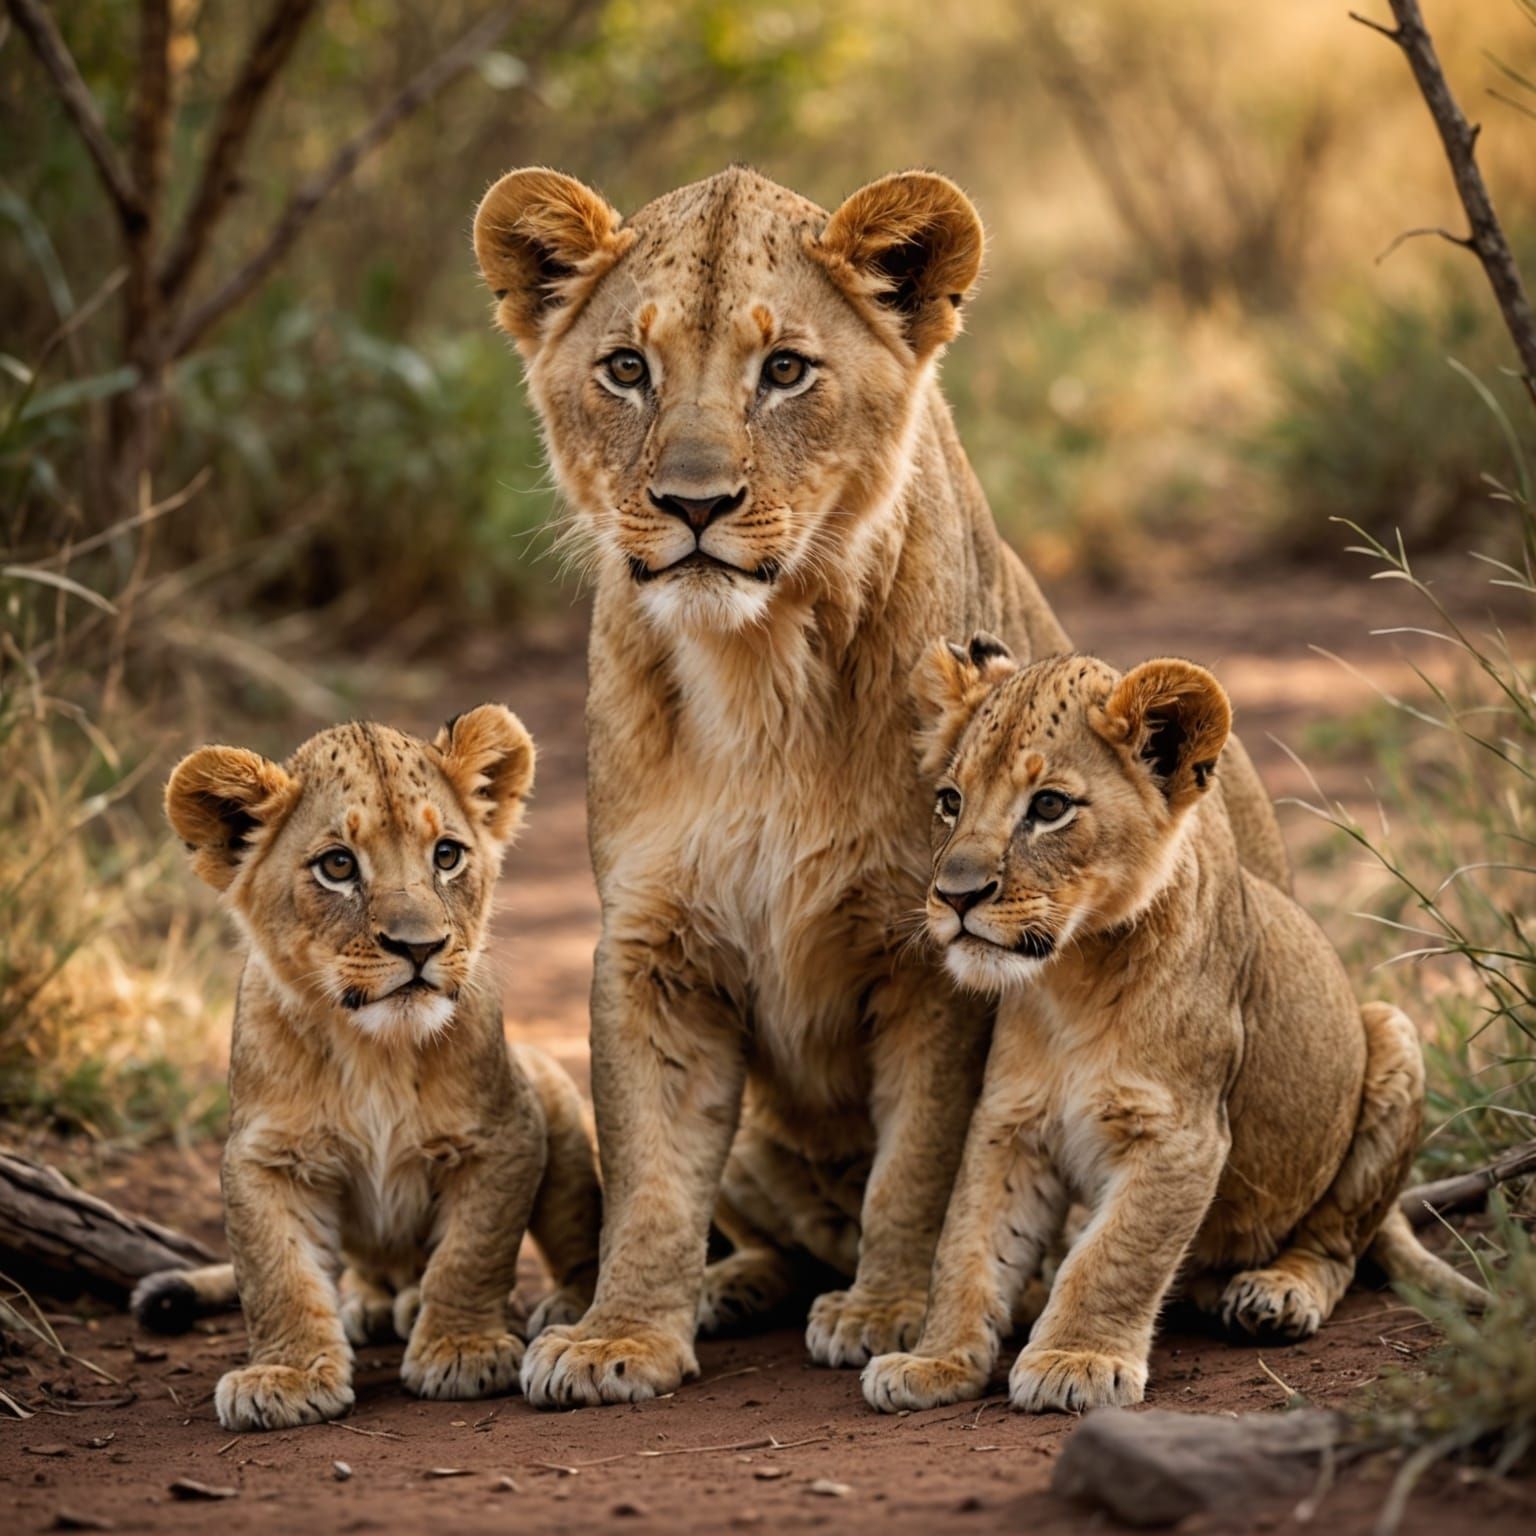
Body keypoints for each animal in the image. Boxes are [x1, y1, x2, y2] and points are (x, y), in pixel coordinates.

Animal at [134, 708, 602, 1431]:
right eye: (337, 866)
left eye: (447, 855)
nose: (420, 946)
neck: (375, 1049)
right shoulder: (265, 1155)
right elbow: (276, 1273)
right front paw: (287, 1375)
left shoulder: (505, 1133)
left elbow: (473, 1251)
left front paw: (463, 1350)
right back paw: (372, 1304)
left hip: (553, 1098)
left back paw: (550, 1304)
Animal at [470, 163, 1291, 1407]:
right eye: (626, 370)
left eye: (784, 371)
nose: (694, 506)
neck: (754, 672)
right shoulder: (654, 945)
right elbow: (651, 1166)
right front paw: (620, 1335)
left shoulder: (932, 953)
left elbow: (920, 1162)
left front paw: (891, 1313)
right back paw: (717, 1287)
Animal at [860, 640, 1486, 1415]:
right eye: (950, 802)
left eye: (1049, 806)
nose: (954, 896)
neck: (1073, 978)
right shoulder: (1009, 1122)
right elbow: (967, 1246)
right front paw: (933, 1360)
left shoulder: (1180, 1131)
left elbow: (1115, 1255)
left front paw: (1075, 1360)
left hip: (1393, 1032)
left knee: (1336, 1242)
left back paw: (1275, 1293)